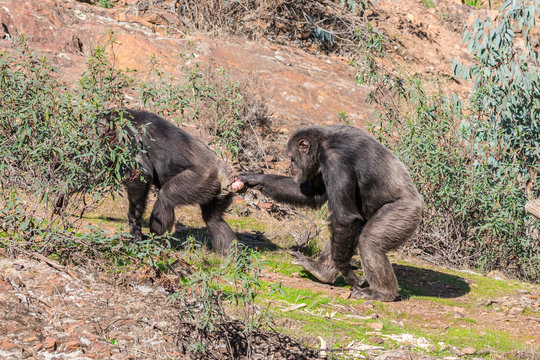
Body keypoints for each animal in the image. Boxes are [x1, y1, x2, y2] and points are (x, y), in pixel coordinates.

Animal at [105, 109, 245, 253]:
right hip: (219, 193)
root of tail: (227, 175)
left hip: (199, 180)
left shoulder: (126, 135)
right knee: (213, 219)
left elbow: (140, 173)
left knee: (165, 200)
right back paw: (231, 256)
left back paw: (155, 243)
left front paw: (135, 228)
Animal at [239, 124, 422, 300]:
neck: (323, 143)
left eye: (291, 157)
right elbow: (312, 194)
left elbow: (344, 218)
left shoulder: (335, 161)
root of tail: (419, 203)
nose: (291, 166)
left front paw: (347, 272)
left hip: (403, 213)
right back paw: (321, 270)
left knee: (368, 241)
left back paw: (382, 292)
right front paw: (254, 179)